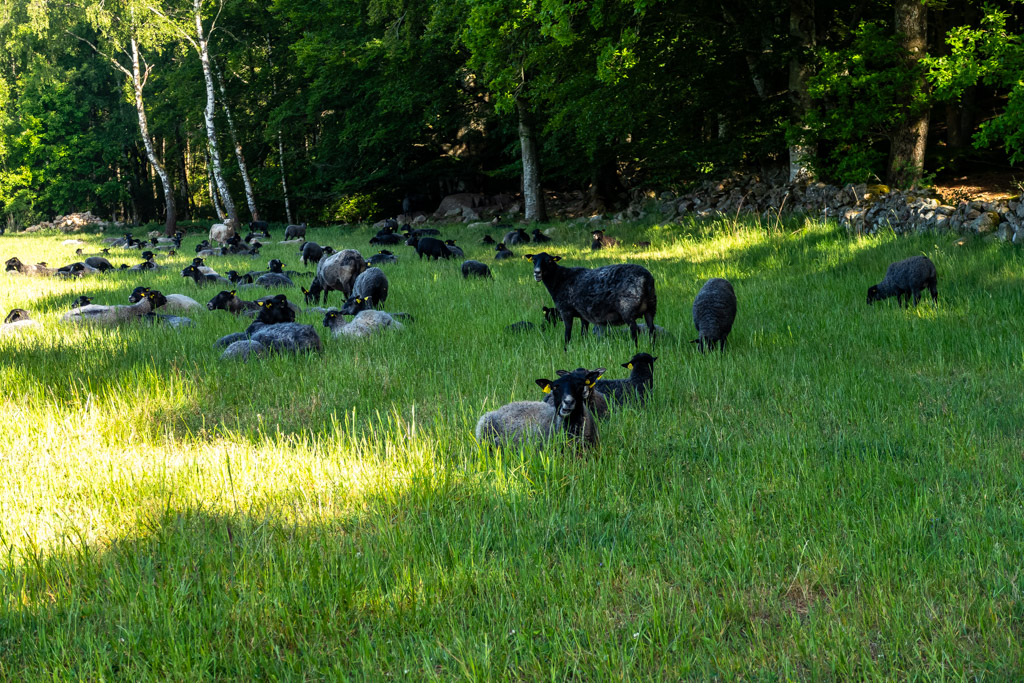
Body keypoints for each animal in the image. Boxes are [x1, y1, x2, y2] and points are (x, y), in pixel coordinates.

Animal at [524, 250, 659, 348]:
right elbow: (583, 333)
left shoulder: (566, 310)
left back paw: (635, 348)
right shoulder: (583, 315)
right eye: (534, 260)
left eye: (549, 261)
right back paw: (652, 348)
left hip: (628, 308)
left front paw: (565, 350)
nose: (537, 273)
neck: (559, 279)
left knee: (634, 330)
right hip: (651, 307)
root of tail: (646, 279)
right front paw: (584, 347)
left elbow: (567, 333)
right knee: (652, 330)